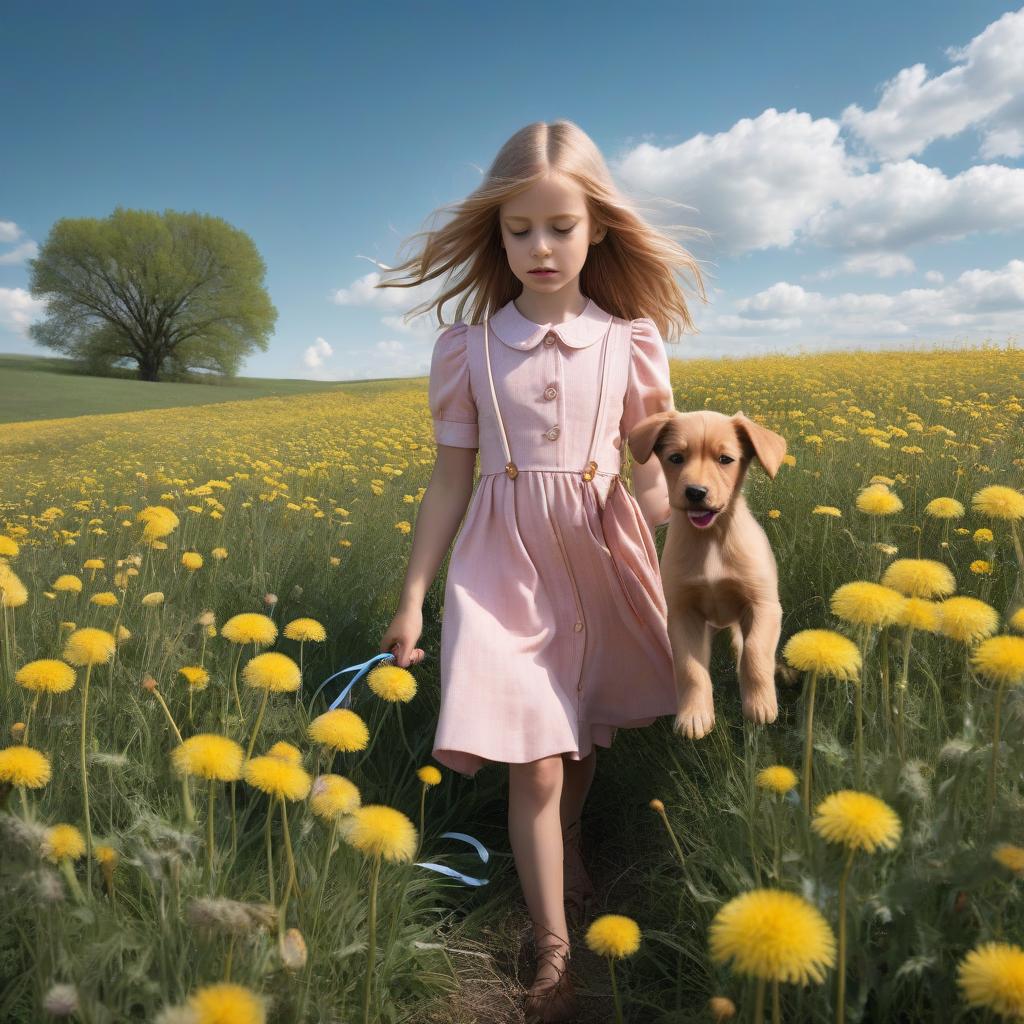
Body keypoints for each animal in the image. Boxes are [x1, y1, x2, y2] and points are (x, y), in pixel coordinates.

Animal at [626, 407, 786, 737]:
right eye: (676, 458)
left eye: (725, 459)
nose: (696, 492)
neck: (711, 539)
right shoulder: (682, 614)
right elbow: (690, 668)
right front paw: (694, 715)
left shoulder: (764, 606)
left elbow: (754, 653)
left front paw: (760, 705)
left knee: (745, 647)